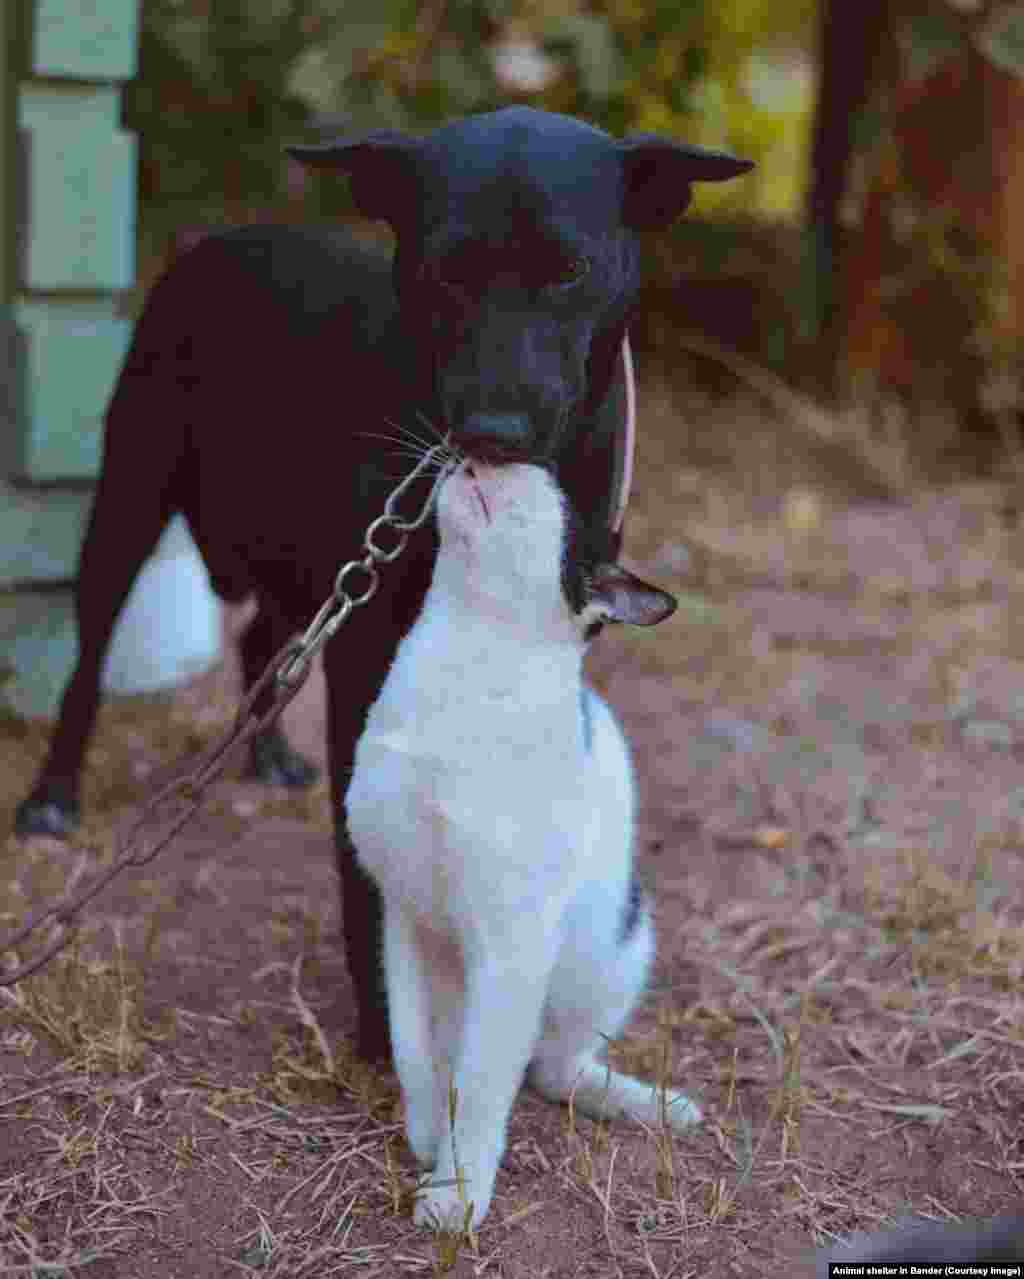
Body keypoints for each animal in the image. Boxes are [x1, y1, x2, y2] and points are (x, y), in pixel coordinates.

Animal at [13, 109, 751, 1064]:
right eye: (443, 270)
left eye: (572, 270)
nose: (492, 431)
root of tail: (217, 241)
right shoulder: (367, 646)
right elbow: (361, 853)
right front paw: (382, 1021)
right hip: (130, 500)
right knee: (89, 656)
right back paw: (53, 792)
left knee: (261, 639)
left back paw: (268, 749)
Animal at [347, 457, 700, 1227]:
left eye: (540, 481)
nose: (472, 452)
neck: (462, 654)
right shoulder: (406, 916)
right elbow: (415, 1050)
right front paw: (426, 1134)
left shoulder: (512, 947)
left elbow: (481, 1085)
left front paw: (455, 1192)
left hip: (617, 949)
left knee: (554, 1071)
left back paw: (645, 1103)